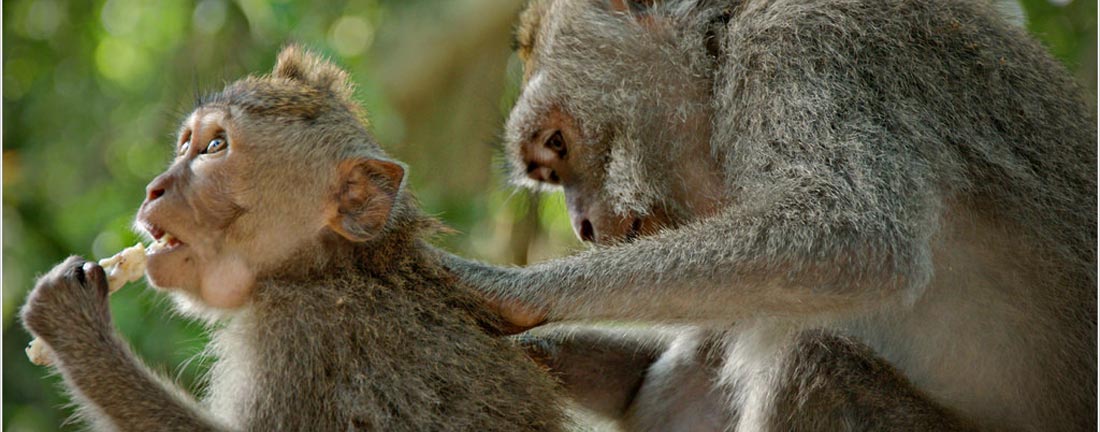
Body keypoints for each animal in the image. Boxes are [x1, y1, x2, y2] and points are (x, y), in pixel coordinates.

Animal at [20, 45, 568, 432]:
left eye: (214, 147)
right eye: (186, 145)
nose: (154, 188)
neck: (324, 272)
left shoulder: (296, 337)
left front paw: (75, 329)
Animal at [438, 0, 1097, 430]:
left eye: (557, 144)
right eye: (549, 173)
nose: (582, 226)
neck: (720, 47)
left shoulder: (802, 50)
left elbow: (854, 235)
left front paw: (508, 289)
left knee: (814, 365)